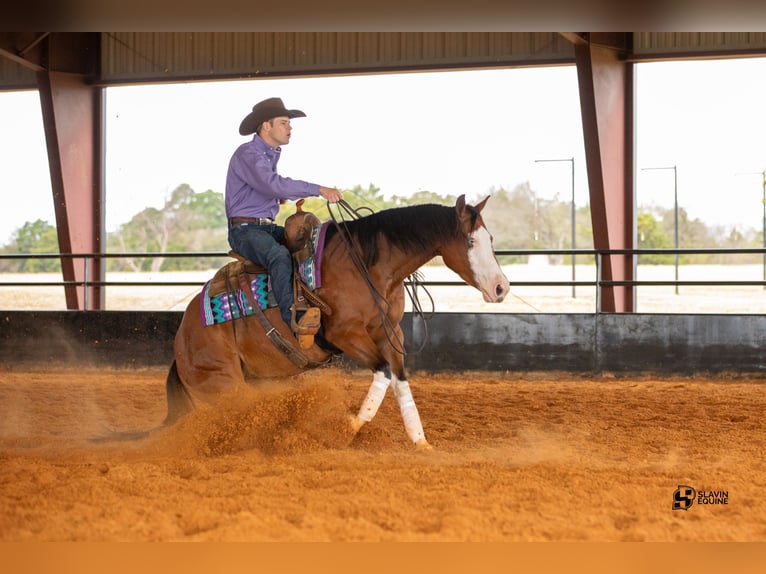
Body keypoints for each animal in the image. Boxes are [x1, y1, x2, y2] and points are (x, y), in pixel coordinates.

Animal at [164, 196, 510, 452]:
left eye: (490, 238)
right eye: (470, 241)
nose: (501, 288)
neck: (368, 264)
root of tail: (183, 337)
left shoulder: (389, 331)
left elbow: (399, 380)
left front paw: (420, 441)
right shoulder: (346, 334)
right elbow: (383, 373)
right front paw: (344, 430)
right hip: (224, 385)